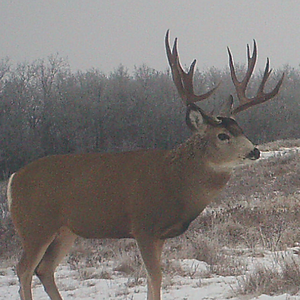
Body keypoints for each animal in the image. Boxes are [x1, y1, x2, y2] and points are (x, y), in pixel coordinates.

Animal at [7, 31, 284, 300]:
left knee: (44, 270)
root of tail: (12, 179)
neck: (176, 182)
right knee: (24, 269)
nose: (254, 151)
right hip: (35, 226)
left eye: (241, 129)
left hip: (65, 230)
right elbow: (155, 277)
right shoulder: (144, 226)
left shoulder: (159, 235)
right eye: (222, 135)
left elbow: (153, 279)